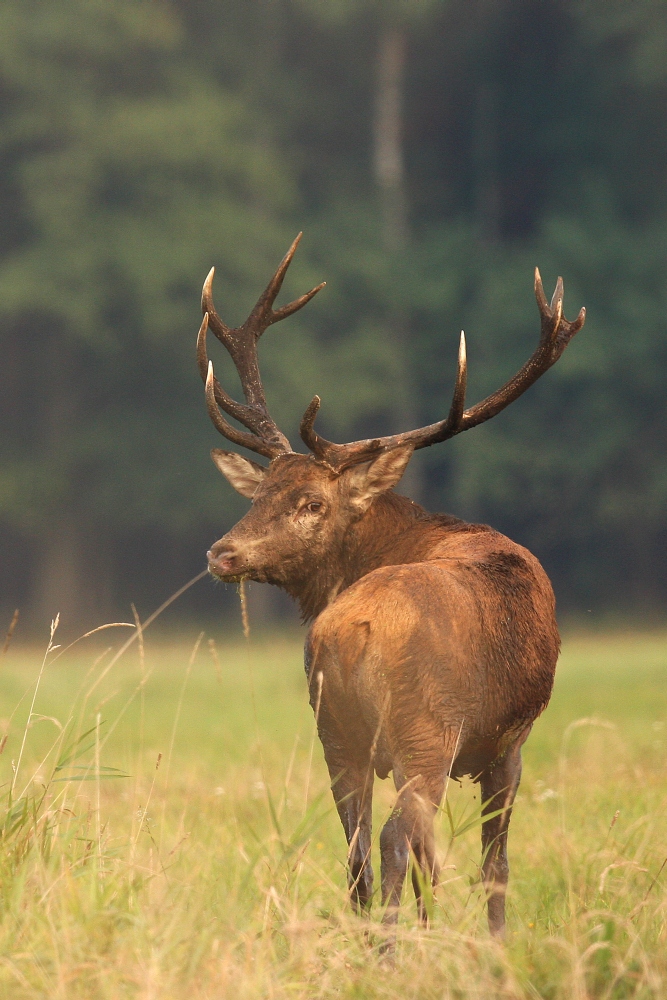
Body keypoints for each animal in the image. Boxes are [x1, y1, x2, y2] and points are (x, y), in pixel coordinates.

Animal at [198, 234, 584, 936]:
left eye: (309, 503)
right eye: (260, 494)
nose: (222, 553)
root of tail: (354, 631)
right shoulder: (510, 740)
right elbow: (495, 864)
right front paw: (495, 944)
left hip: (336, 731)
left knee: (356, 847)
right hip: (422, 732)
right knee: (396, 839)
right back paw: (392, 946)